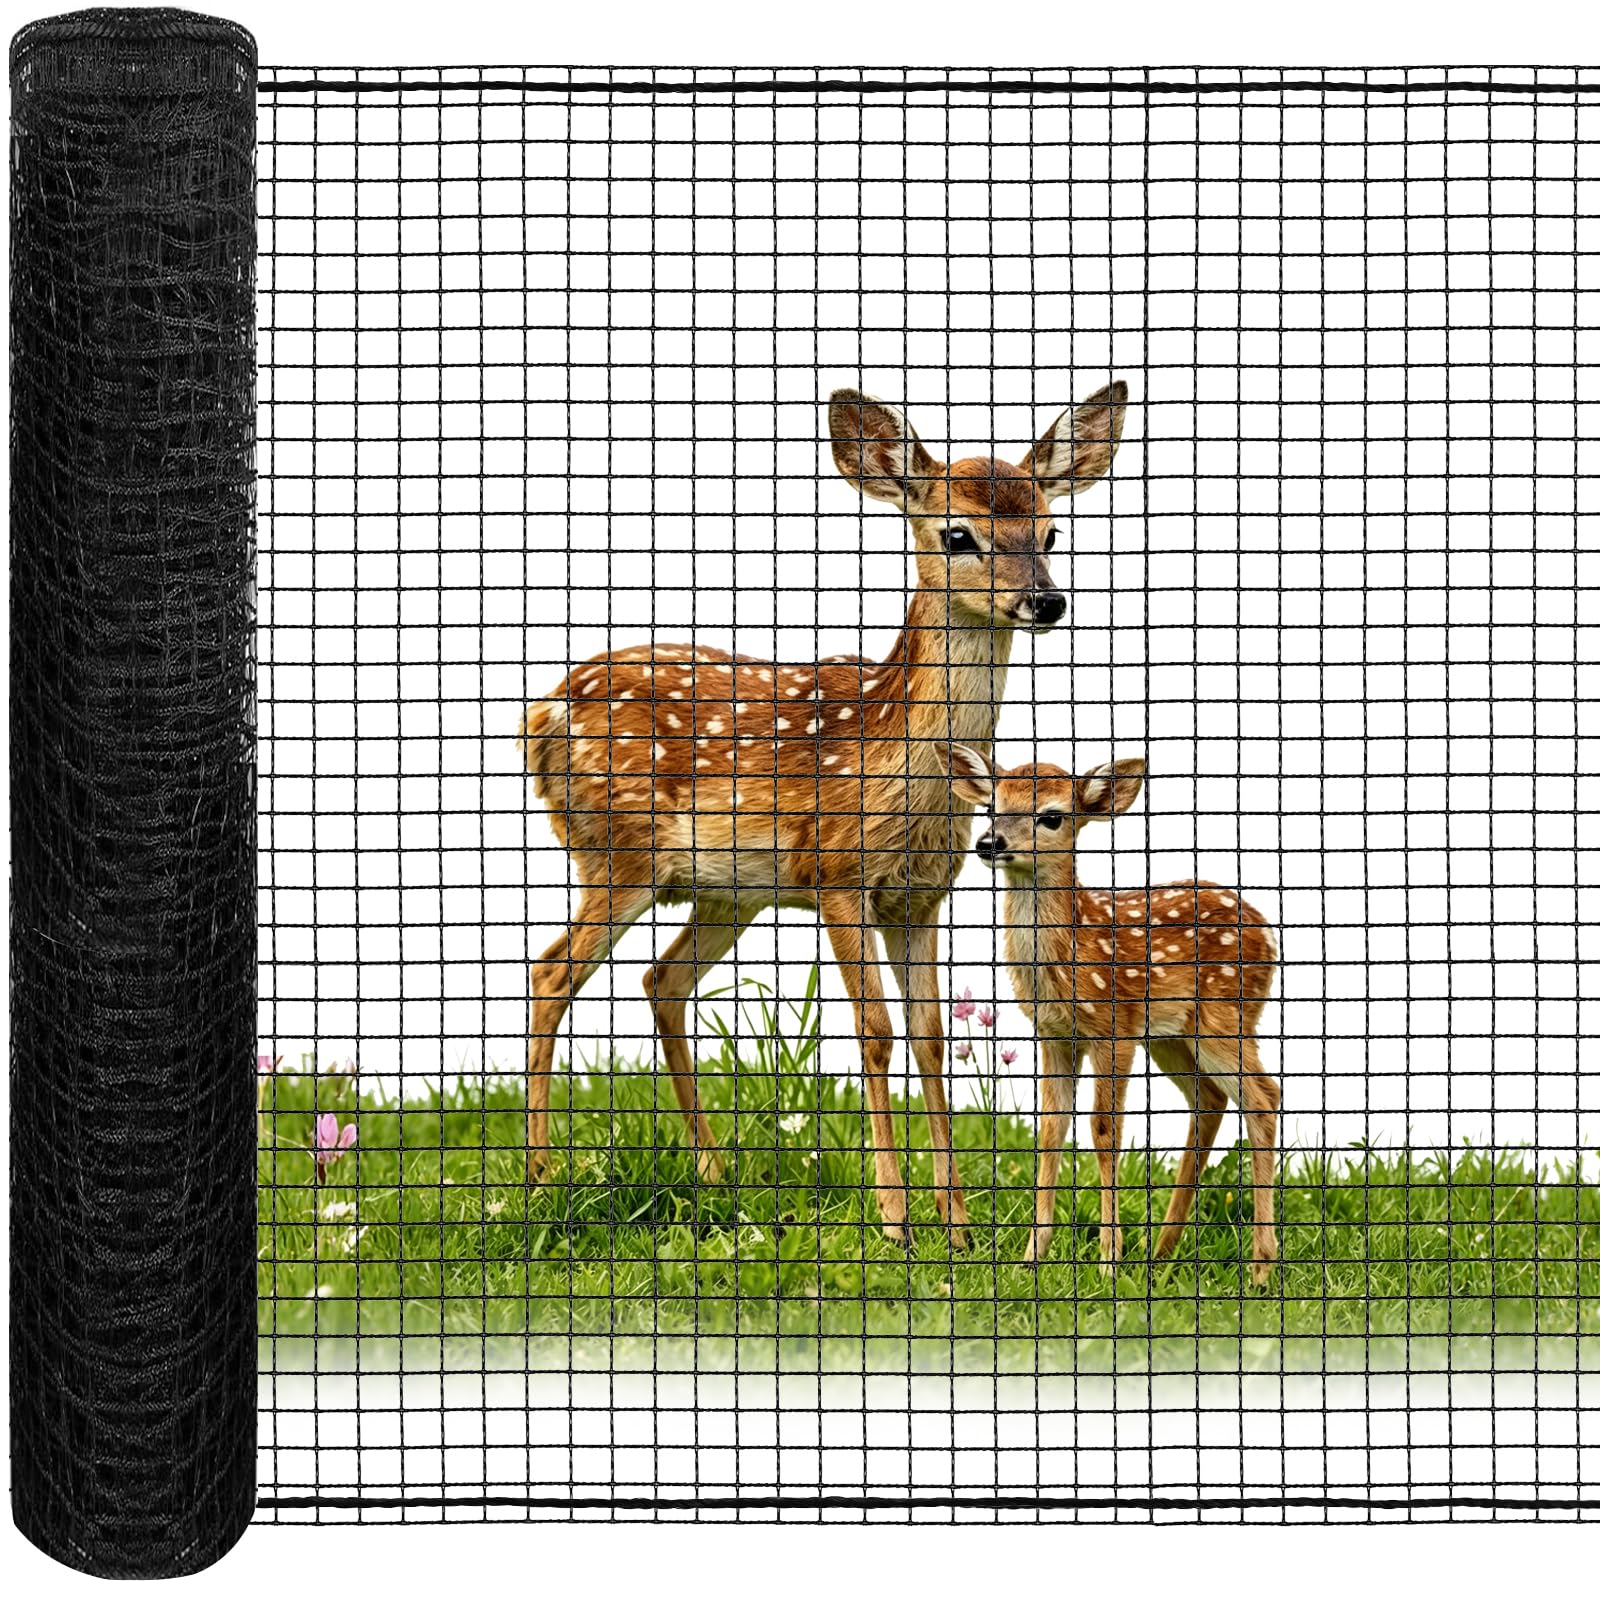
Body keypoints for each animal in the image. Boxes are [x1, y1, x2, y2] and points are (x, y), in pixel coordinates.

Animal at [518, 380, 1129, 1249]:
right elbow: (875, 1033)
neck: (902, 772)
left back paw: (715, 1179)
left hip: (722, 891)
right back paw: (542, 1181)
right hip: (617, 851)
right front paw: (896, 1221)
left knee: (661, 980)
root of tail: (543, 713)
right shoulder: (837, 871)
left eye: (1051, 529)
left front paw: (958, 1225)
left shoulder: (919, 895)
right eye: (958, 534)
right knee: (552, 972)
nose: (1044, 600)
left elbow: (930, 1037)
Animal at [935, 745, 1280, 1282]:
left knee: (1265, 1097)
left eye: (1051, 816)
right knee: (1210, 1100)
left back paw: (1260, 1268)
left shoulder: (1113, 1028)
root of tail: (1270, 936)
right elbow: (1051, 1128)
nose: (989, 843)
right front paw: (1032, 1258)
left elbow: (1104, 1130)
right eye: (992, 806)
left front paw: (1107, 1262)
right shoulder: (1055, 1034)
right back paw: (1162, 1252)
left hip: (1224, 1016)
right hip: (1171, 1037)